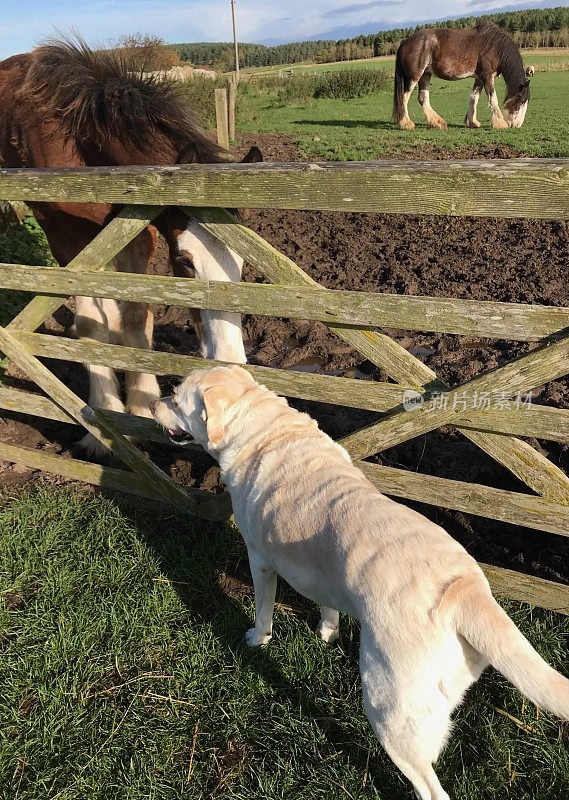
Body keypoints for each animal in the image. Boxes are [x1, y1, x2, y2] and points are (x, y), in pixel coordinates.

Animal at [0, 39, 262, 450]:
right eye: (185, 262)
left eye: (241, 262)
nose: (230, 359)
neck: (78, 140)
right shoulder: (69, 245)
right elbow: (91, 325)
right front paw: (102, 422)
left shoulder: (137, 235)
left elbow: (137, 316)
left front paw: (141, 406)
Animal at [151, 366, 568, 796]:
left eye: (176, 399)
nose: (152, 403)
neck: (263, 427)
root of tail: (461, 590)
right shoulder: (320, 570)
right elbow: (326, 602)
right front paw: (328, 632)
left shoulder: (259, 559)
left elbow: (263, 610)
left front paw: (256, 639)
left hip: (391, 712)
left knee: (430, 786)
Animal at [390, 22, 528, 130]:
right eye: (521, 101)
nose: (517, 125)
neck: (495, 47)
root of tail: (405, 42)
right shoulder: (487, 76)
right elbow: (493, 99)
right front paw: (500, 123)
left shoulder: (479, 78)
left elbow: (474, 97)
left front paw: (472, 122)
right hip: (414, 76)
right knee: (404, 97)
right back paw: (406, 123)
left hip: (425, 75)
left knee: (423, 98)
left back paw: (437, 122)